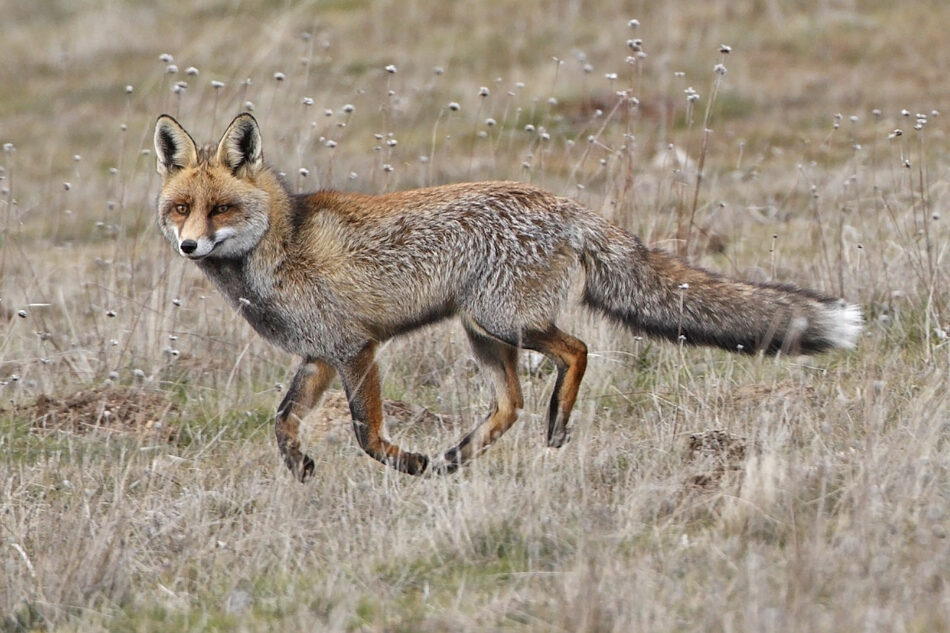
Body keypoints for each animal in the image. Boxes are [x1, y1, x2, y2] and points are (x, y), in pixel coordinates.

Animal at [152, 113, 868, 478]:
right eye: (181, 208)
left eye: (221, 209)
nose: (188, 247)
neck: (281, 243)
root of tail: (564, 204)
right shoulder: (320, 355)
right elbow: (281, 421)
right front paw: (302, 468)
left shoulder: (357, 348)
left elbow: (364, 432)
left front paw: (404, 463)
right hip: (483, 332)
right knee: (511, 403)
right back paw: (456, 458)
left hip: (499, 320)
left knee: (575, 352)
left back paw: (550, 426)